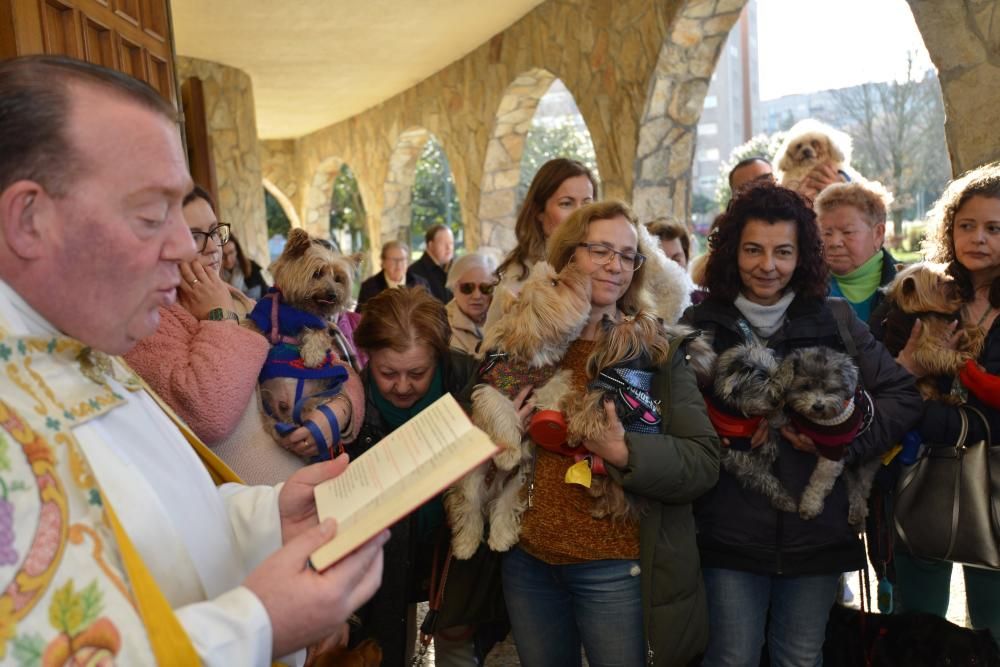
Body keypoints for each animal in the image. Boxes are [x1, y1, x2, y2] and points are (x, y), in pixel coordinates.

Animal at [712, 336, 796, 516]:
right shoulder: (739, 456)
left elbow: (772, 426)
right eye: (759, 385)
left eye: (775, 377)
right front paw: (782, 498)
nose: (778, 402)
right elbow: (764, 476)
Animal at [780, 348, 876, 524]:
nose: (818, 406)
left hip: (866, 463)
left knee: (862, 488)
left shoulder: (834, 453)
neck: (818, 420)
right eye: (805, 386)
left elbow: (820, 480)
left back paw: (858, 511)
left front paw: (810, 505)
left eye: (831, 389)